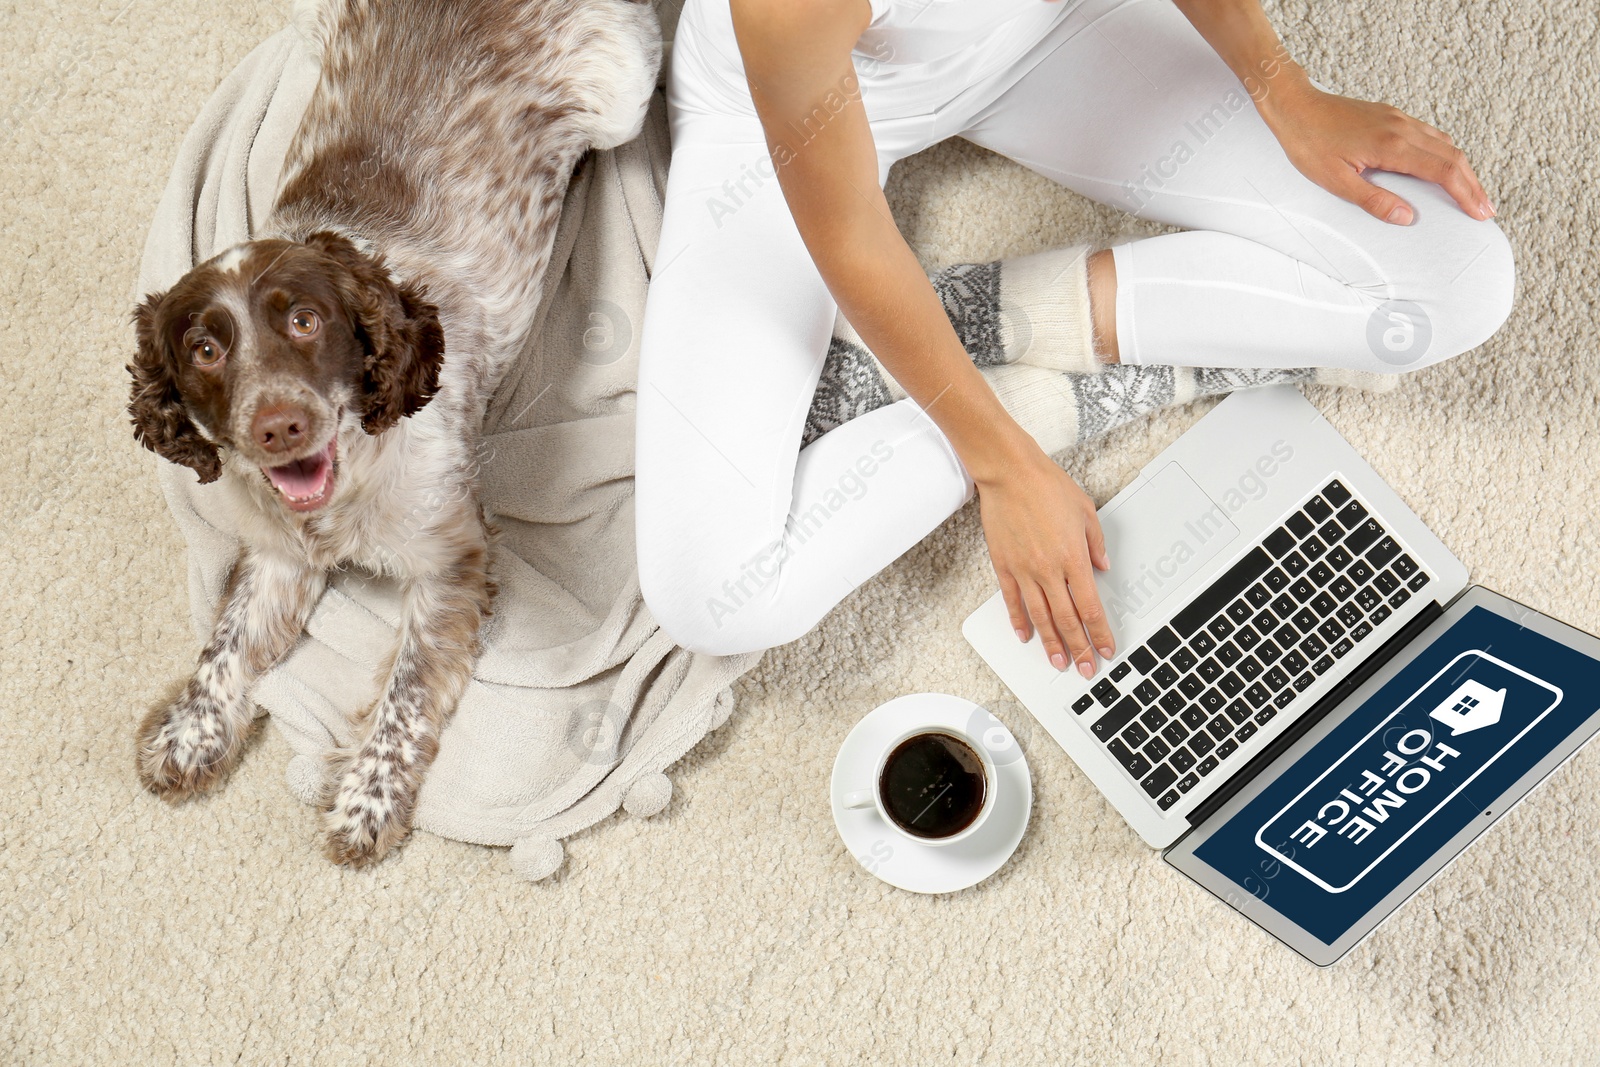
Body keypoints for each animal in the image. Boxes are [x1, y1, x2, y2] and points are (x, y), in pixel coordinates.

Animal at [124, 0, 662, 870]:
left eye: (306, 321)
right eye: (205, 348)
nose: (279, 425)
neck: (344, 491)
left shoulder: (451, 560)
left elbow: (405, 695)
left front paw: (368, 801)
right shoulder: (278, 554)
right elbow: (225, 645)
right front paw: (189, 733)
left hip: (624, 90)